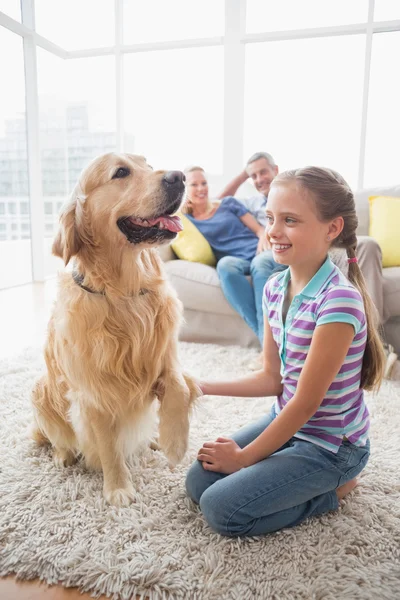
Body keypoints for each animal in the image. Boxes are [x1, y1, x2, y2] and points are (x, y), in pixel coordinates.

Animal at [32, 152, 200, 504]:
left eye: (148, 166)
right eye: (120, 172)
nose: (179, 177)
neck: (124, 292)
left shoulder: (165, 359)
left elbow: (178, 386)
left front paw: (174, 442)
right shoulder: (94, 394)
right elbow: (109, 447)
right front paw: (119, 488)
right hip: (40, 390)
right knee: (58, 437)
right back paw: (62, 455)